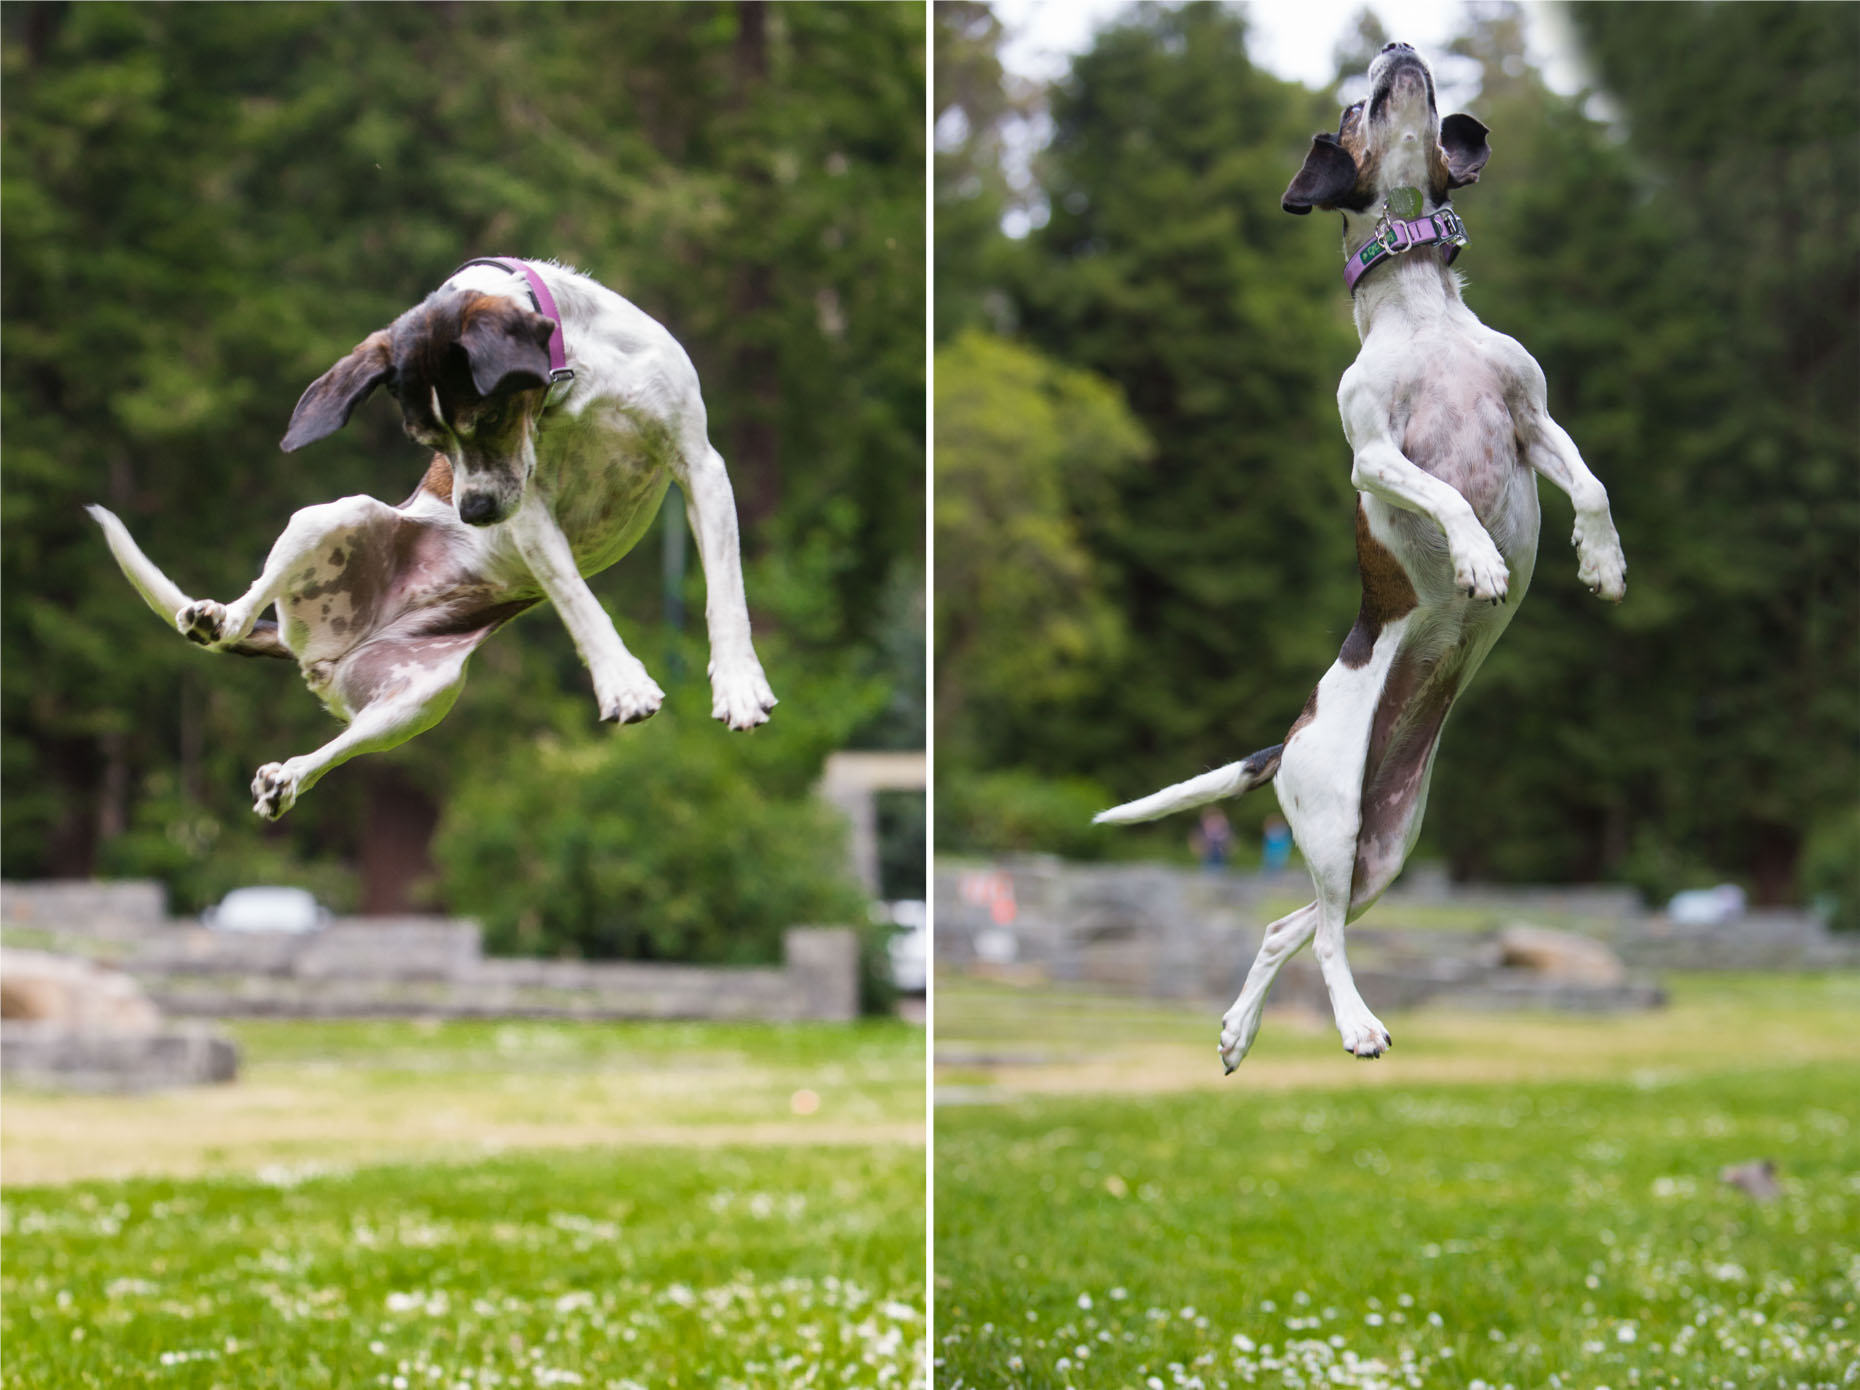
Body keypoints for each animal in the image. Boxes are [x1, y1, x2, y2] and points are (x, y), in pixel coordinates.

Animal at [92, 258, 777, 815]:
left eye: (489, 415)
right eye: (426, 440)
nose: (472, 512)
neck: (573, 382)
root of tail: (329, 650)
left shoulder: (700, 465)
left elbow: (726, 594)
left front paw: (739, 685)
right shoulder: (530, 512)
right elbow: (580, 602)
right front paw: (622, 682)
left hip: (419, 696)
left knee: (343, 743)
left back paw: (288, 778)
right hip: (334, 520)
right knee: (253, 603)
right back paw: (217, 618)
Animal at [1093, 40, 1621, 1064]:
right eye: (1350, 107)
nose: (1399, 46)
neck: (1422, 308)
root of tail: (1289, 736)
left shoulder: (1532, 420)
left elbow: (1592, 486)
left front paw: (1602, 561)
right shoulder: (1374, 456)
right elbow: (1448, 496)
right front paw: (1478, 563)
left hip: (1386, 848)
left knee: (1286, 927)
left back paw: (1237, 1032)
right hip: (1337, 821)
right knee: (1326, 938)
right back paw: (1355, 1024)